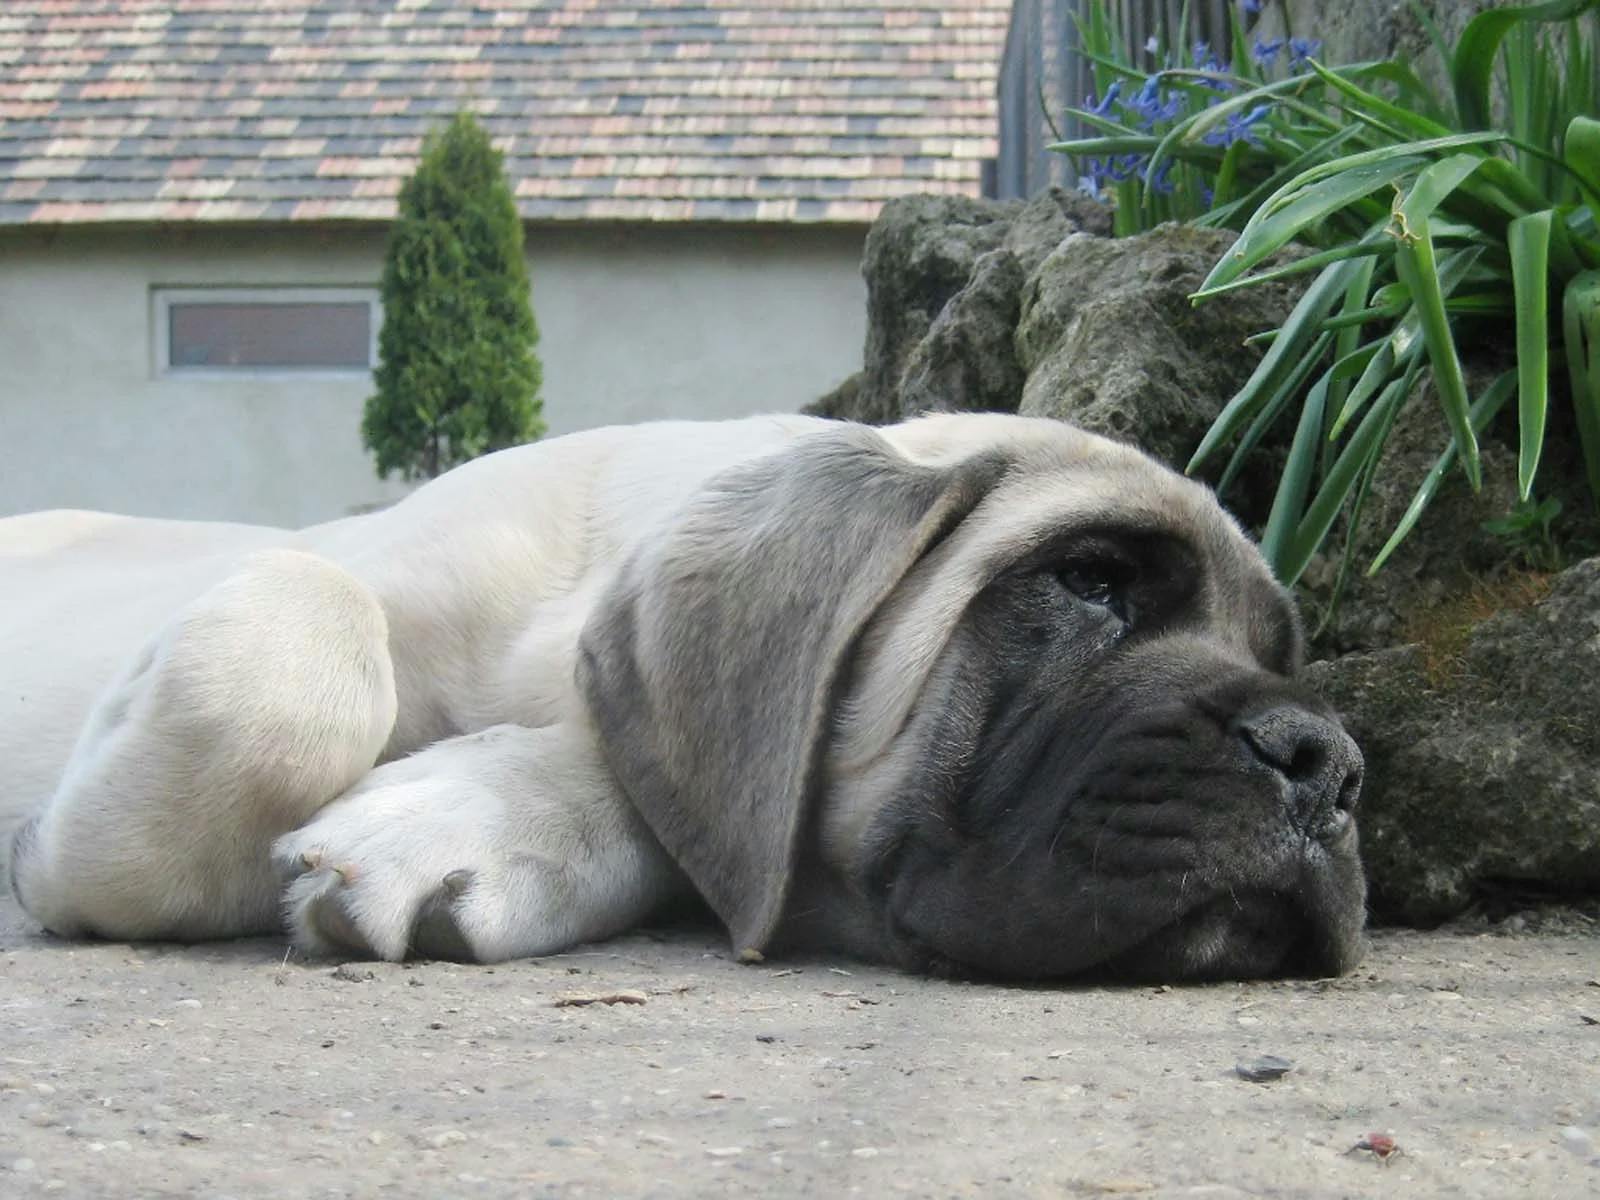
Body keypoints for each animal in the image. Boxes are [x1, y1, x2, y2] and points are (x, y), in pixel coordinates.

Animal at [3, 419, 1363, 979]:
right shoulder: (344, 578)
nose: (1325, 763)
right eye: (1087, 581)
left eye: (1284, 654)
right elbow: (300, 639)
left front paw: (462, 823)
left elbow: (642, 789)